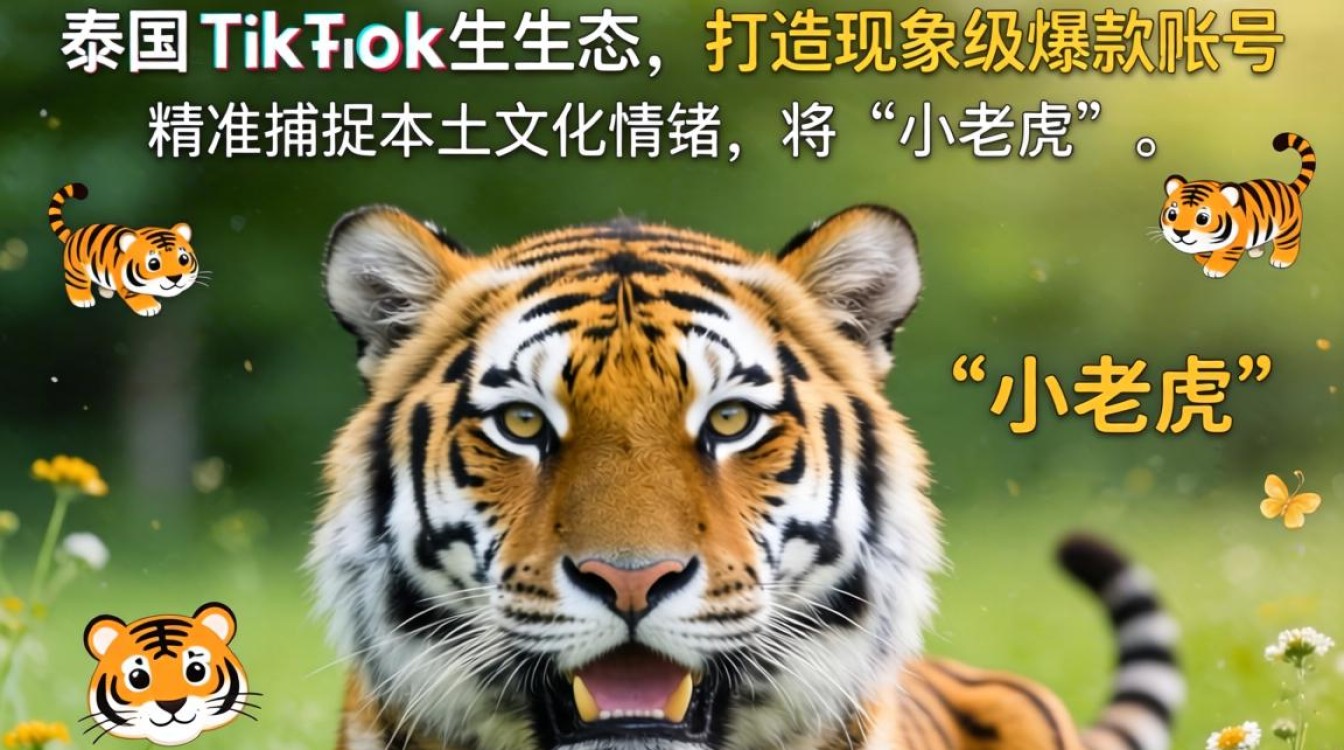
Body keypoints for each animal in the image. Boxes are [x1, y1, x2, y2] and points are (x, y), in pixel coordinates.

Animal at [47, 182, 199, 316]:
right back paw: (83, 300)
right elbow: (136, 296)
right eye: (153, 264)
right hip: (76, 269)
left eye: (184, 259)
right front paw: (150, 307)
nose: (175, 278)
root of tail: (73, 235)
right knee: (76, 283)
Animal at [1160, 132, 1315, 278]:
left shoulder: (1233, 245)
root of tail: (1289, 187)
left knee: (1288, 243)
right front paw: (1204, 258)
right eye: (1172, 214)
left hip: (1289, 227)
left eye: (1203, 219)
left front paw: (1213, 269)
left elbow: (1224, 256)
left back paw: (1281, 260)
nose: (1180, 232)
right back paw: (1256, 251)